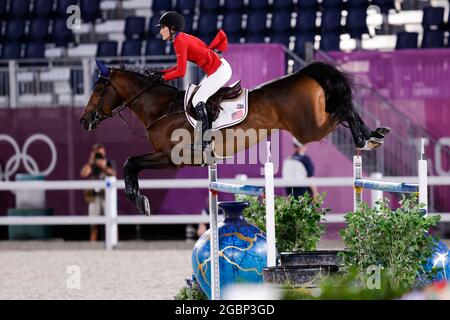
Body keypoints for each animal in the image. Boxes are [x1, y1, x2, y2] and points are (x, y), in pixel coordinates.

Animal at [79, 60, 388, 215]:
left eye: (97, 90)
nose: (83, 120)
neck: (161, 108)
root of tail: (303, 74)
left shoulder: (171, 158)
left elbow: (130, 162)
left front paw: (138, 199)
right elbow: (131, 163)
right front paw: (139, 198)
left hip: (309, 128)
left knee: (344, 109)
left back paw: (366, 139)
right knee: (346, 108)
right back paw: (374, 135)